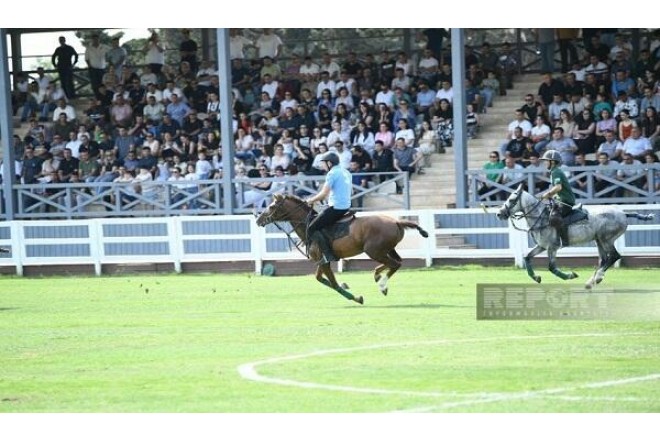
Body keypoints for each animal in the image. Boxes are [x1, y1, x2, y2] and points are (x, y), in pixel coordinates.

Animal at [255, 193, 430, 302]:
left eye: (271, 207)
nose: (258, 220)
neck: (307, 225)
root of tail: (396, 221)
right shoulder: (322, 261)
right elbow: (319, 278)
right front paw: (346, 286)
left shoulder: (324, 260)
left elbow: (333, 284)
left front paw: (356, 298)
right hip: (386, 249)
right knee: (397, 262)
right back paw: (378, 277)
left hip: (373, 251)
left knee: (394, 264)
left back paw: (381, 284)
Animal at [498, 183, 652, 288]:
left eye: (511, 200)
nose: (499, 214)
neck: (541, 217)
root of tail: (623, 213)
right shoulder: (542, 246)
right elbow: (527, 257)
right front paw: (536, 277)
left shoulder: (552, 247)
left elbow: (552, 267)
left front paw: (571, 275)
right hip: (598, 240)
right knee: (603, 259)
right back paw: (591, 281)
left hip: (606, 239)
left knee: (614, 256)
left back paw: (597, 278)